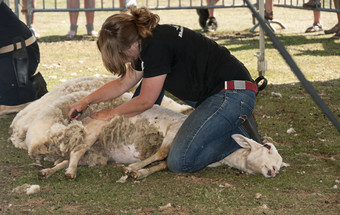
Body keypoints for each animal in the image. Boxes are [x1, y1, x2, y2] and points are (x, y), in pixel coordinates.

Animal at [9, 75, 288, 181]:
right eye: (267, 147)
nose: (274, 170)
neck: (221, 152)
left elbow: (164, 165)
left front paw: (140, 173)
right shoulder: (173, 133)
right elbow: (162, 154)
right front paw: (132, 169)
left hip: (95, 151)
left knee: (69, 155)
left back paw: (49, 171)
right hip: (94, 132)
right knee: (75, 153)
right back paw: (70, 173)